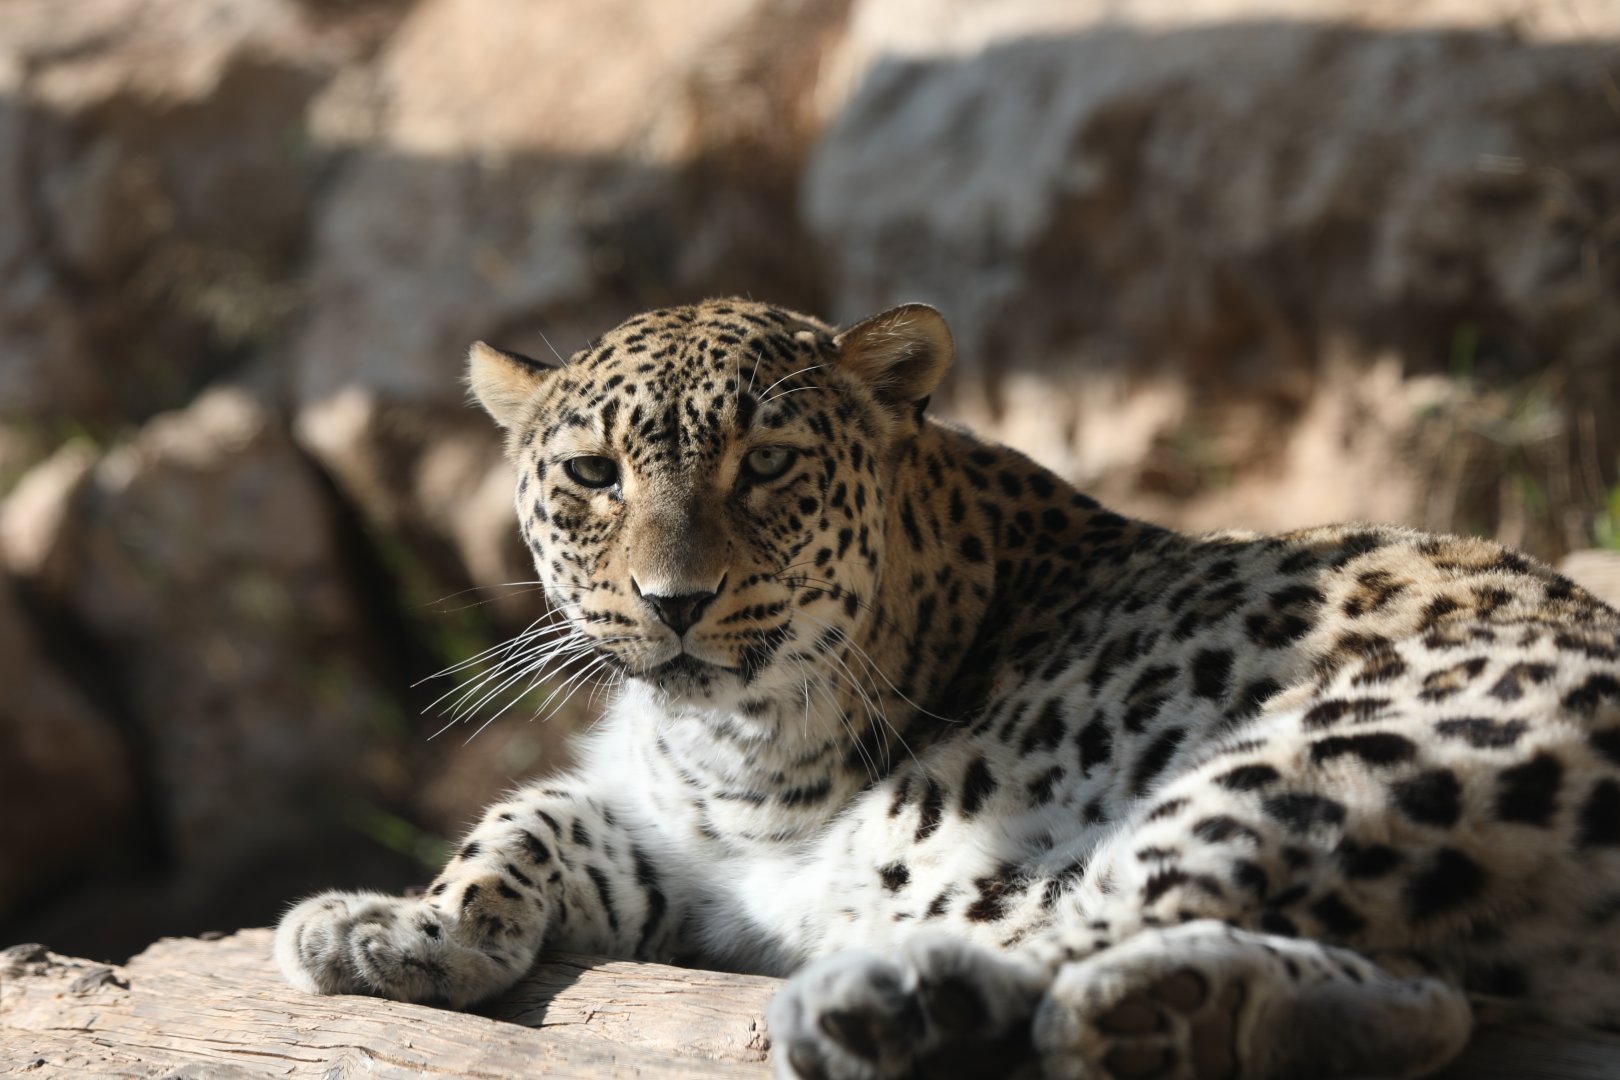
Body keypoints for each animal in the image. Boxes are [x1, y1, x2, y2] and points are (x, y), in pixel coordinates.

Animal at [277, 298, 1620, 1080]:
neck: (735, 743)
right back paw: (1187, 1017)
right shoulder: (688, 859)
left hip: (1333, 754)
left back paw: (906, 1000)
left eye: (768, 465)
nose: (674, 602)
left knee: (1096, 919)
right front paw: (400, 928)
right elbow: (525, 820)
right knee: (1432, 1005)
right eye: (594, 475)